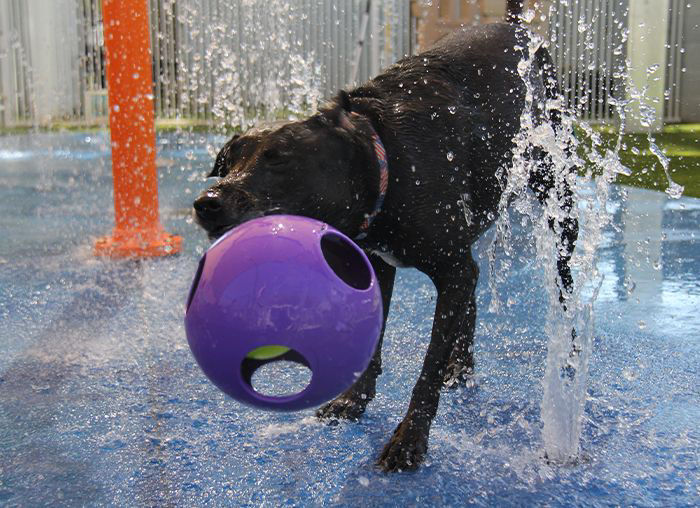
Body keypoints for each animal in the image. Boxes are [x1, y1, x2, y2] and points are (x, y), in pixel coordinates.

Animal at [194, 4, 576, 472]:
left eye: (279, 158)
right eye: (227, 162)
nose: (208, 202)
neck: (387, 160)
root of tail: (517, 28)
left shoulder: (449, 265)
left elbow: (427, 367)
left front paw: (410, 439)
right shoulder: (378, 264)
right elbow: (375, 342)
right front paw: (353, 400)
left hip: (556, 193)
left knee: (561, 283)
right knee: (471, 291)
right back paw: (462, 365)